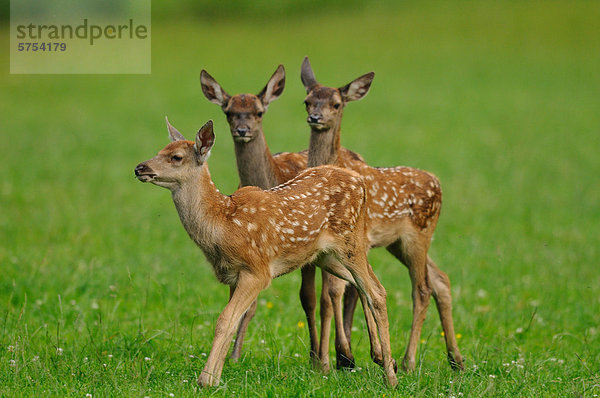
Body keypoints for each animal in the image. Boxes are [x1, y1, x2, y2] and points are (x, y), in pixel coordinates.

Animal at [135, 118, 398, 388]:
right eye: (160, 150)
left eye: (176, 157)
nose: (139, 168)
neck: (222, 224)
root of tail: (360, 182)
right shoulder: (233, 276)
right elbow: (232, 321)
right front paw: (216, 378)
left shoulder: (257, 271)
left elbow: (224, 320)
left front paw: (205, 380)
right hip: (325, 255)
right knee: (364, 285)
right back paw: (380, 358)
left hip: (349, 241)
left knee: (376, 291)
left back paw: (390, 377)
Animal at [300, 57, 464, 372]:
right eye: (307, 101)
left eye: (336, 104)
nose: (315, 117)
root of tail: (438, 182)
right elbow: (337, 290)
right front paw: (337, 359)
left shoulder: (359, 239)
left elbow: (348, 290)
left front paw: (368, 356)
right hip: (398, 243)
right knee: (441, 279)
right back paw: (456, 359)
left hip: (418, 236)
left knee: (422, 288)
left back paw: (409, 360)